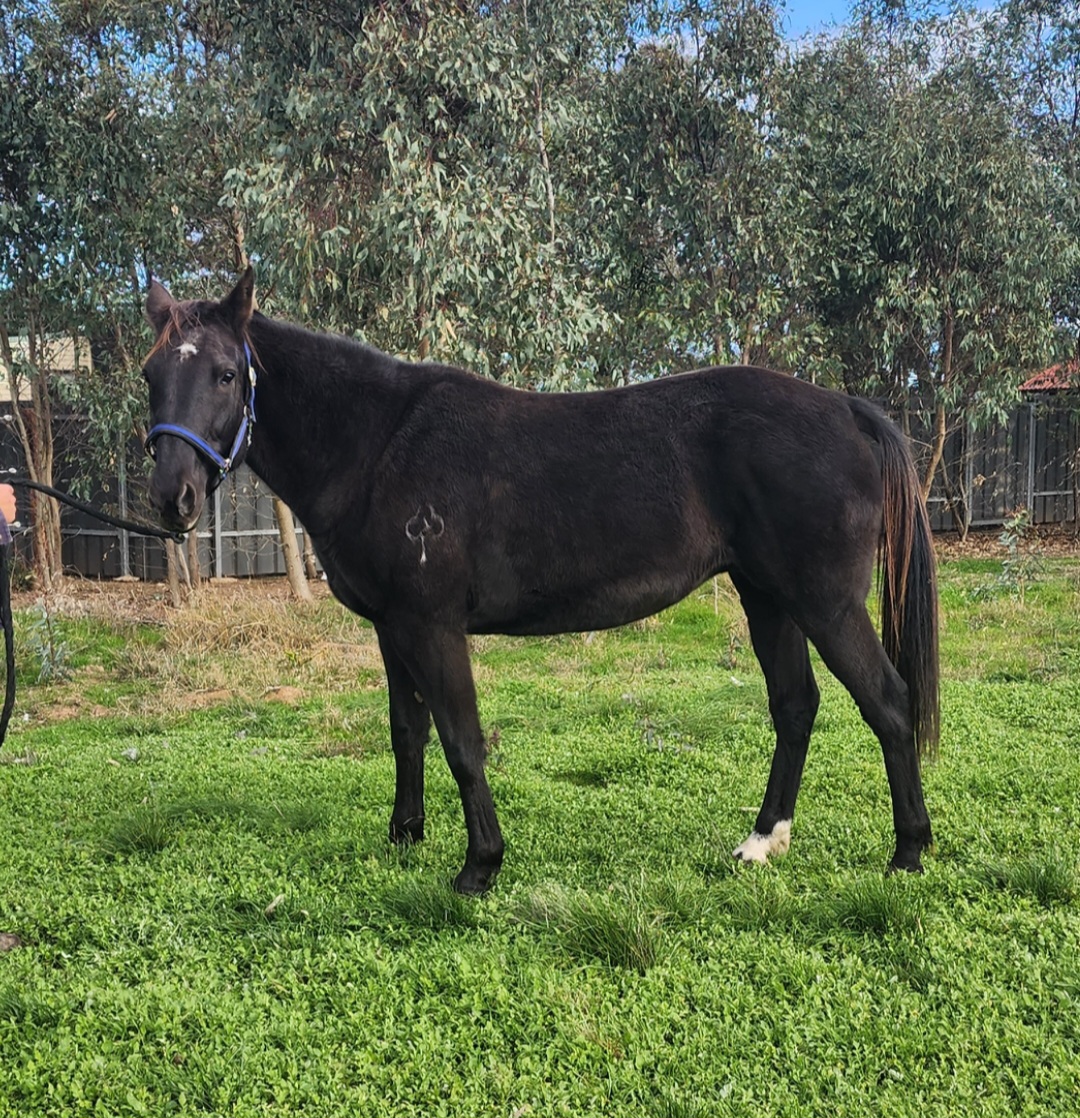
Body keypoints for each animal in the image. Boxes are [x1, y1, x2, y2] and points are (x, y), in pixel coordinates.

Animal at [142, 268, 938, 894]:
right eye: (151, 377)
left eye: (224, 374)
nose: (173, 499)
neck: (379, 442)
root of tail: (847, 409)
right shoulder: (391, 628)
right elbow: (407, 731)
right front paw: (404, 836)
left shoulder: (431, 626)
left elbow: (462, 739)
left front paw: (480, 865)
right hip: (767, 596)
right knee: (795, 707)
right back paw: (763, 840)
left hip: (825, 603)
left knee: (888, 703)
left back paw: (908, 852)